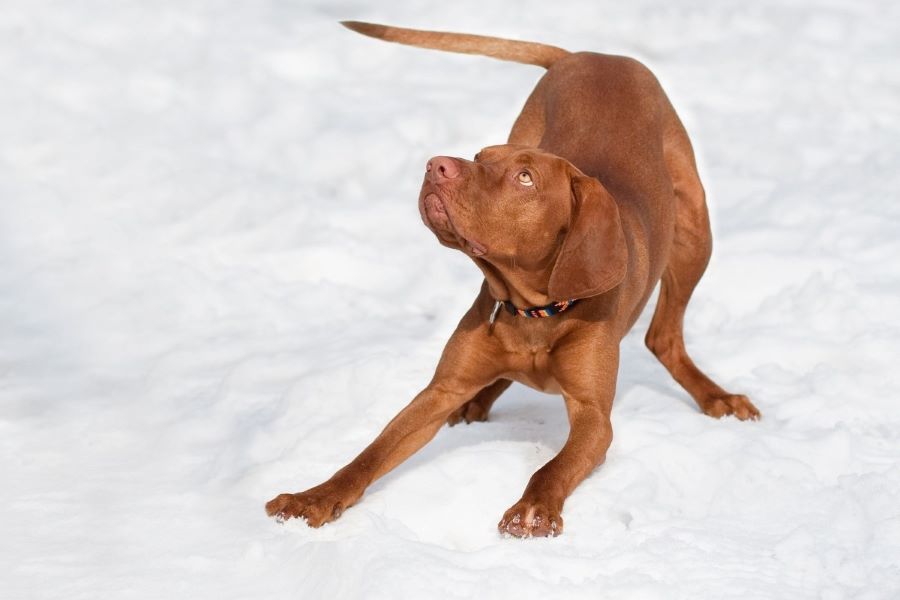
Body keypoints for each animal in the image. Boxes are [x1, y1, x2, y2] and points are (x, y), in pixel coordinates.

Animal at [262, 22, 760, 540]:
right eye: (481, 156)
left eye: (525, 178)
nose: (436, 164)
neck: (534, 310)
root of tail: (592, 54)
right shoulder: (439, 391)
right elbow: (371, 452)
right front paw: (315, 497)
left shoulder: (593, 417)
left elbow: (552, 468)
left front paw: (534, 509)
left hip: (694, 232)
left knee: (664, 336)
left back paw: (718, 396)